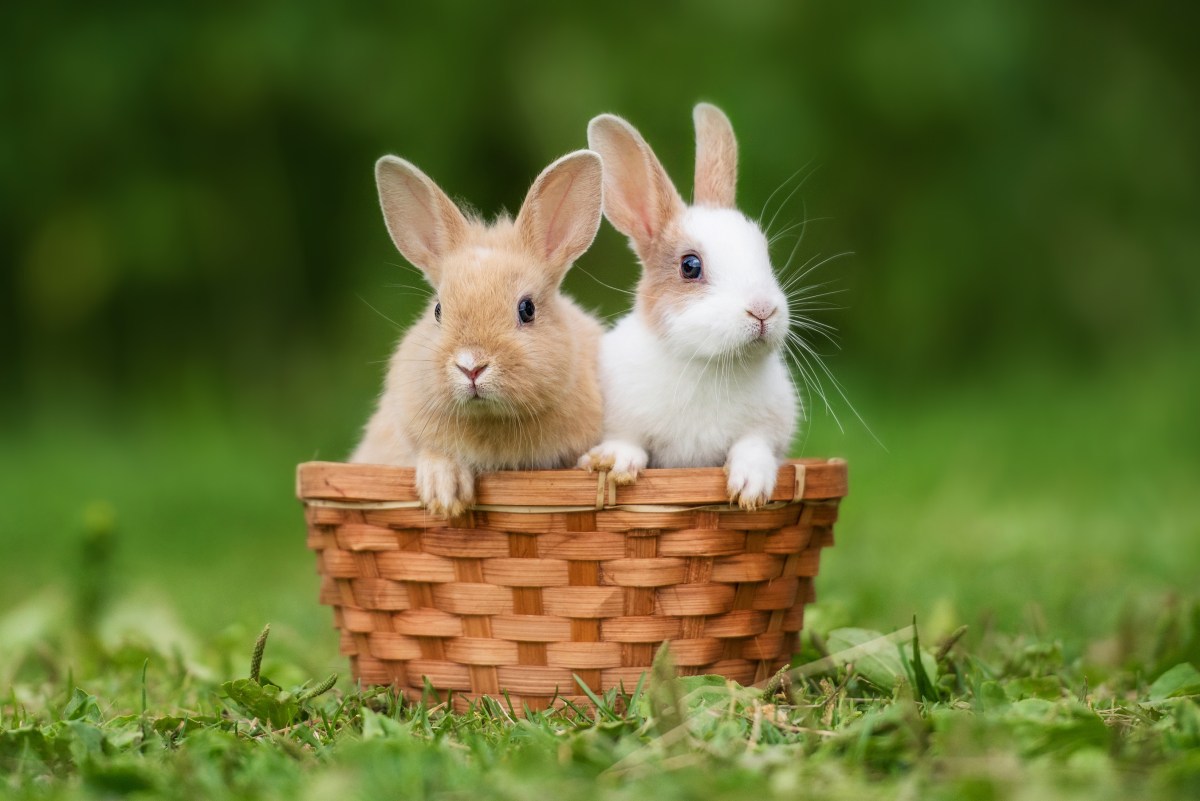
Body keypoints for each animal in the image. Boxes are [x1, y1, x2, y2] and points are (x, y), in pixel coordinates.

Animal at [578, 103, 801, 510]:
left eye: (765, 252)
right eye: (690, 266)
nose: (762, 310)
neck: (709, 364)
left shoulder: (768, 429)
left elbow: (753, 446)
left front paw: (751, 488)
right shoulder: (621, 419)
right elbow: (629, 442)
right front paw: (613, 463)